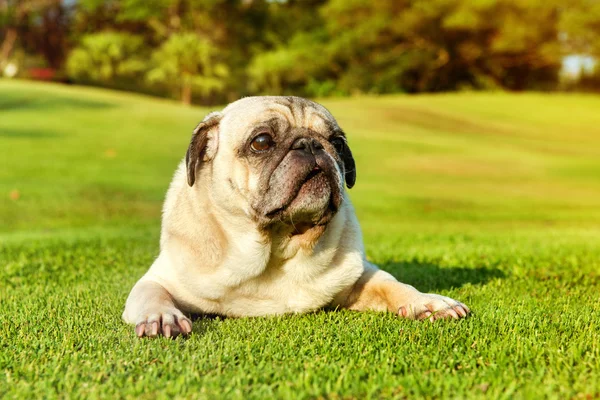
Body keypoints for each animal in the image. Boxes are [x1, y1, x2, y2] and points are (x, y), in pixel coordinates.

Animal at [122, 96, 468, 338]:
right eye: (261, 141)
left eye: (338, 143)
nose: (311, 144)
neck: (278, 246)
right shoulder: (161, 278)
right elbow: (152, 293)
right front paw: (161, 317)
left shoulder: (361, 275)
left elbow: (394, 284)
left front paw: (428, 301)